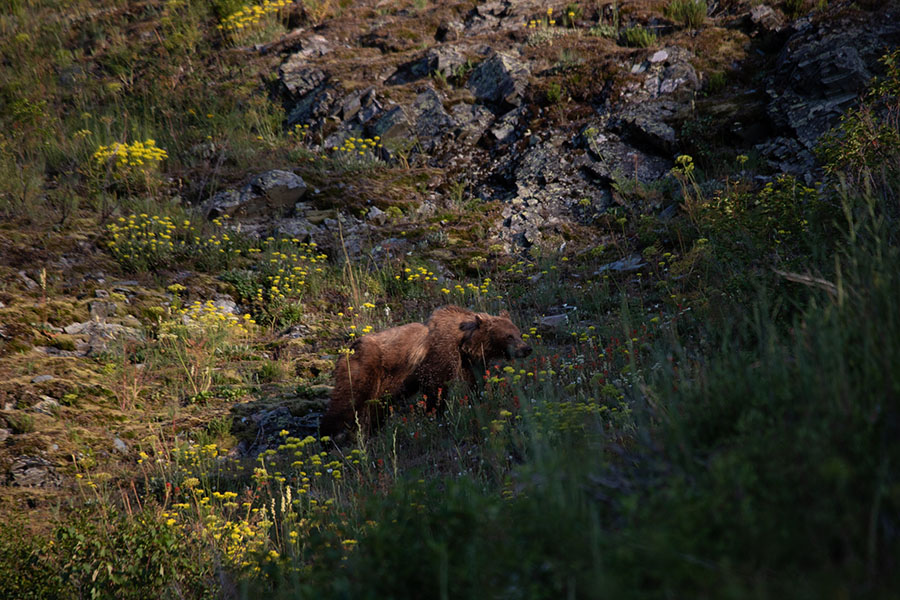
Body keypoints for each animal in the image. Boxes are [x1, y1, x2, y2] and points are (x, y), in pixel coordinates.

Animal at [320, 308, 532, 434]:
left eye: (519, 333)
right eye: (509, 335)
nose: (527, 348)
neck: (464, 341)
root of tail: (346, 351)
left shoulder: (468, 362)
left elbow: (475, 382)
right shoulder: (439, 353)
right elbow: (436, 385)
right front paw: (437, 414)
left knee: (375, 409)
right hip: (364, 369)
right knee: (348, 401)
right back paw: (329, 438)